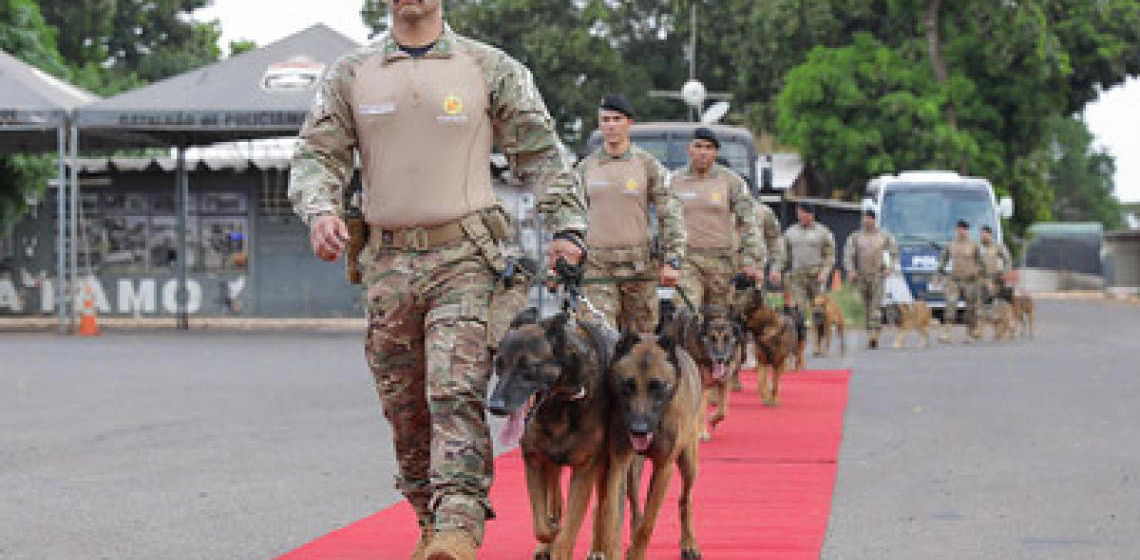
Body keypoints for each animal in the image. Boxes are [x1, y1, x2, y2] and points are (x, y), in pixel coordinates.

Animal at [487, 310, 620, 560]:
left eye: (528, 368)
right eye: (498, 365)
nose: (495, 407)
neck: (560, 404)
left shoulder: (585, 468)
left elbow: (569, 531)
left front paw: (561, 543)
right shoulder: (534, 460)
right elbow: (542, 525)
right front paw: (550, 534)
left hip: (605, 467)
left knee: (601, 506)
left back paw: (597, 547)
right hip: (551, 463)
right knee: (555, 498)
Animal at [597, 333, 702, 560]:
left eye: (657, 387)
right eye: (627, 386)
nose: (639, 430)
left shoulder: (664, 468)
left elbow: (649, 521)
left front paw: (637, 553)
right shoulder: (619, 463)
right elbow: (612, 514)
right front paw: (612, 549)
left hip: (689, 462)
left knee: (685, 499)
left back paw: (689, 542)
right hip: (633, 469)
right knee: (636, 504)